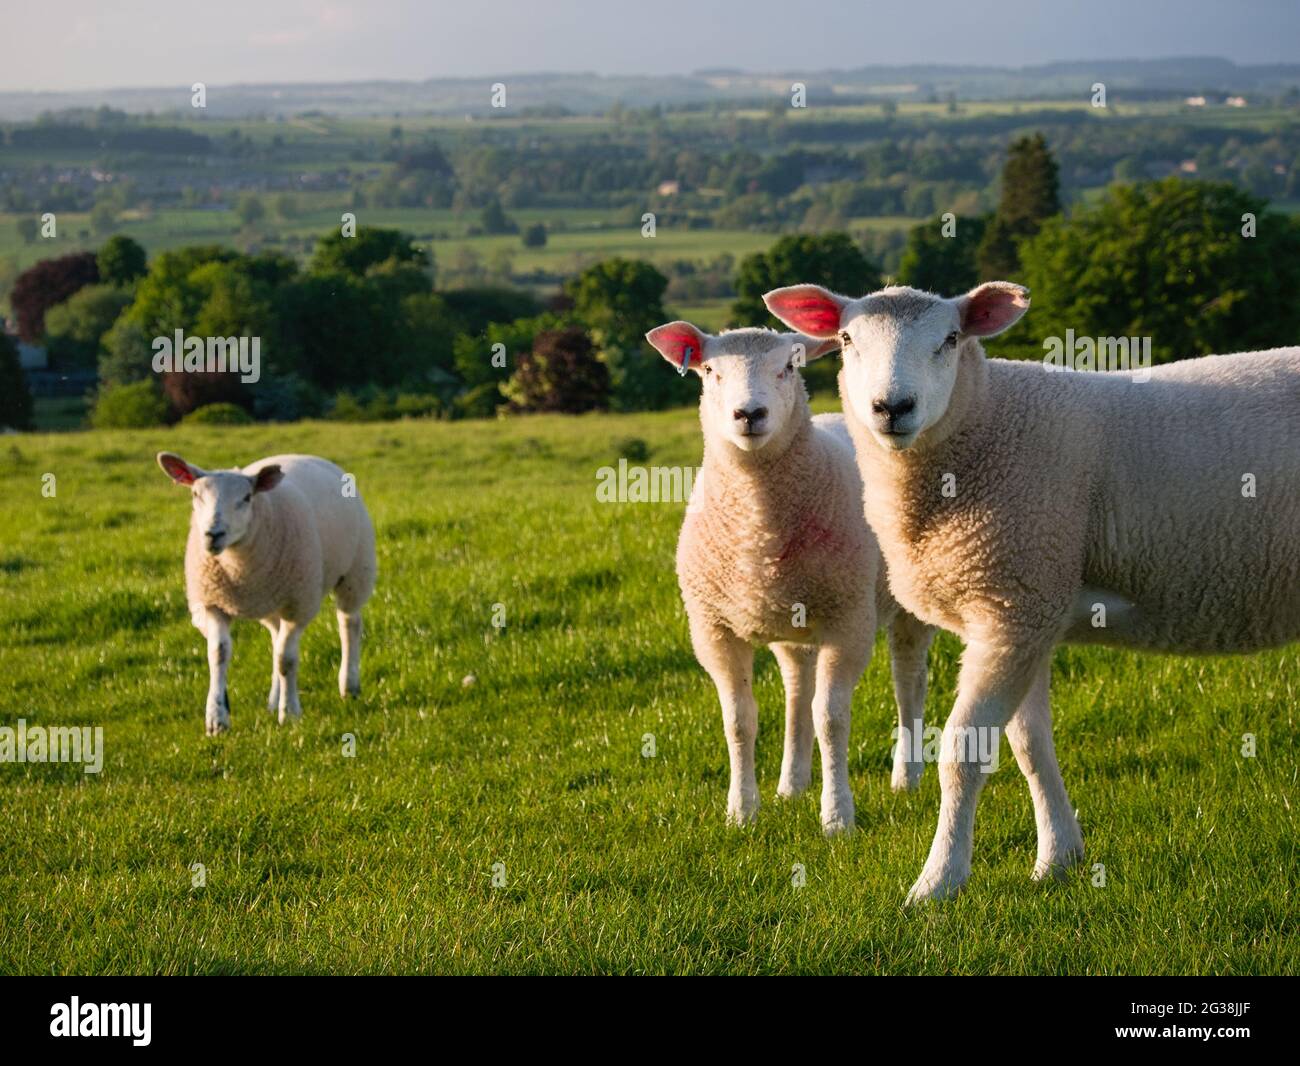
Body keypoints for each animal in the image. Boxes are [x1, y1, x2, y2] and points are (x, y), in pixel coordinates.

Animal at [157, 452, 377, 735]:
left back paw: (348, 685)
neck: (238, 568)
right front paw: (217, 718)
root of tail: (305, 455)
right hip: (273, 603)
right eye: (196, 494)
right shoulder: (212, 602)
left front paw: (290, 713)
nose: (212, 534)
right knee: (275, 638)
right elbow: (218, 653)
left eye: (246, 498)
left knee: (349, 623)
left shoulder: (298, 605)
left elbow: (287, 660)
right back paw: (273, 700)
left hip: (355, 572)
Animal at [645, 321, 933, 833]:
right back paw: (791, 784)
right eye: (710, 371)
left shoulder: (847, 620)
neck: (756, 531)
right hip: (793, 621)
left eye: (787, 368)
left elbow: (832, 718)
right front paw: (741, 811)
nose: (749, 413)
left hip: (904, 606)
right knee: (799, 688)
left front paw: (837, 817)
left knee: (908, 681)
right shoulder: (713, 631)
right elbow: (740, 721)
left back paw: (907, 777)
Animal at [764, 279, 1300, 901]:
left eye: (951, 339)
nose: (892, 408)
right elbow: (1029, 746)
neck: (985, 421)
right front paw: (1058, 859)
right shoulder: (1033, 608)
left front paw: (937, 881)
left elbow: (963, 752)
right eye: (847, 339)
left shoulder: (1012, 606)